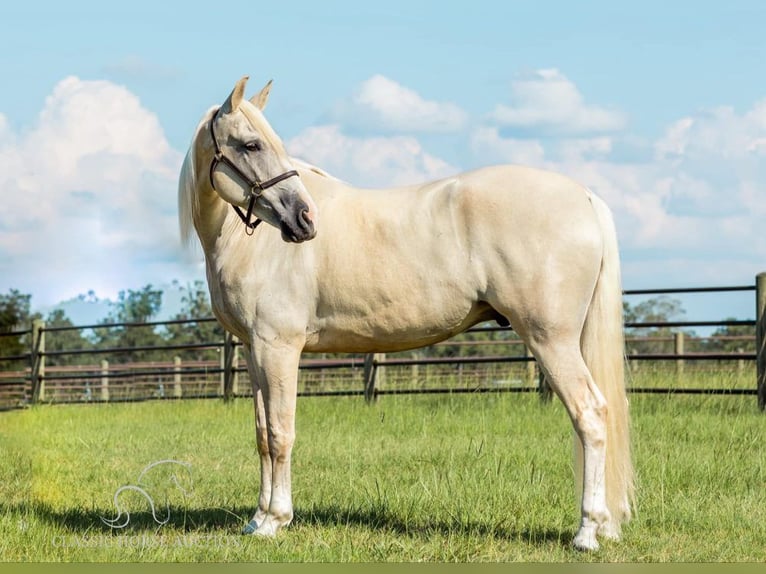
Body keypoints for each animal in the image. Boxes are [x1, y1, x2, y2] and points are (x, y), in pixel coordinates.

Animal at [178, 76, 636, 552]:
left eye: (267, 143)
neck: (246, 240)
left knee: (591, 416)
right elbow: (262, 435)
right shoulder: (255, 352)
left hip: (552, 340)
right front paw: (256, 519)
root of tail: (583, 196)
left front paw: (275, 520)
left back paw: (588, 531)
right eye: (251, 145)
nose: (305, 220)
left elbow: (281, 433)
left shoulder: (279, 349)